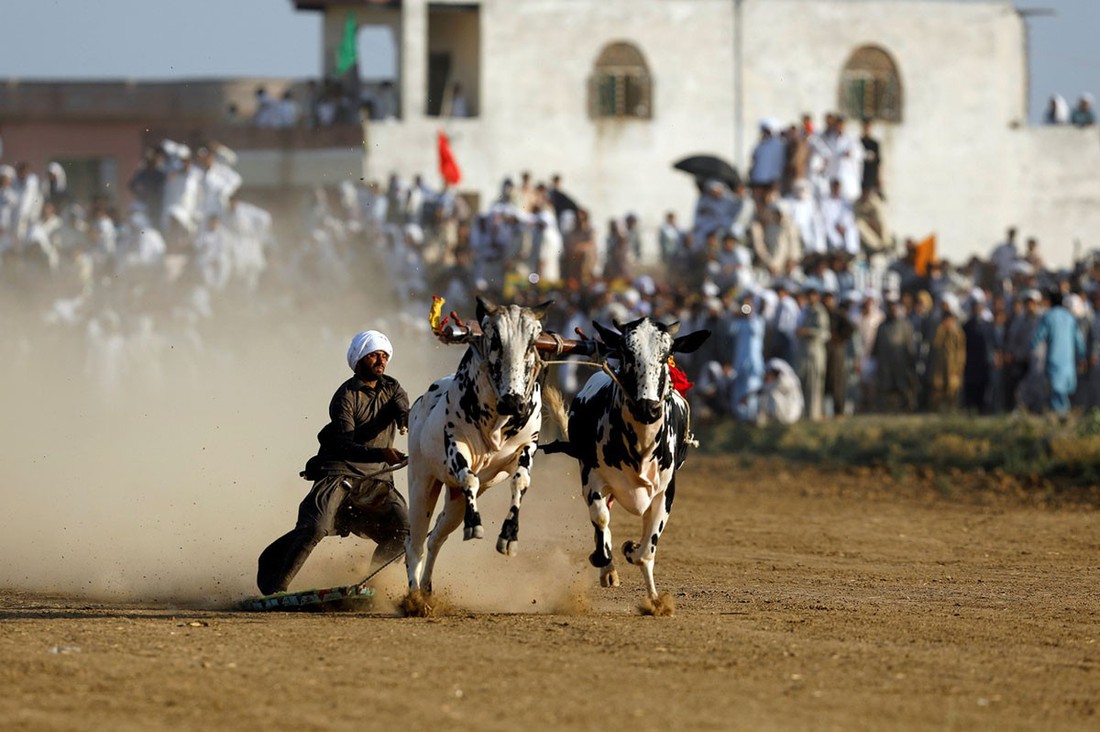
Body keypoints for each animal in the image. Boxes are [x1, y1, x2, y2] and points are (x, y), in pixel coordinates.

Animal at [407, 295, 554, 590]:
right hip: (421, 482)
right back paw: (413, 593)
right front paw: (474, 525)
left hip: (454, 501)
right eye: (494, 338)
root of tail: (418, 404)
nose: (513, 401)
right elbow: (470, 478)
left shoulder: (528, 446)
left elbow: (521, 481)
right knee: (413, 544)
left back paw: (427, 589)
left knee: (436, 536)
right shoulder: (456, 444)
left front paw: (509, 537)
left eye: (533, 342)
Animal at [547, 319, 708, 603]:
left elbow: (646, 549)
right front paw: (605, 560)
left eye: (666, 355)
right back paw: (608, 570)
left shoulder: (666, 491)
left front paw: (654, 598)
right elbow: (601, 521)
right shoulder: (592, 478)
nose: (647, 407)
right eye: (626, 353)